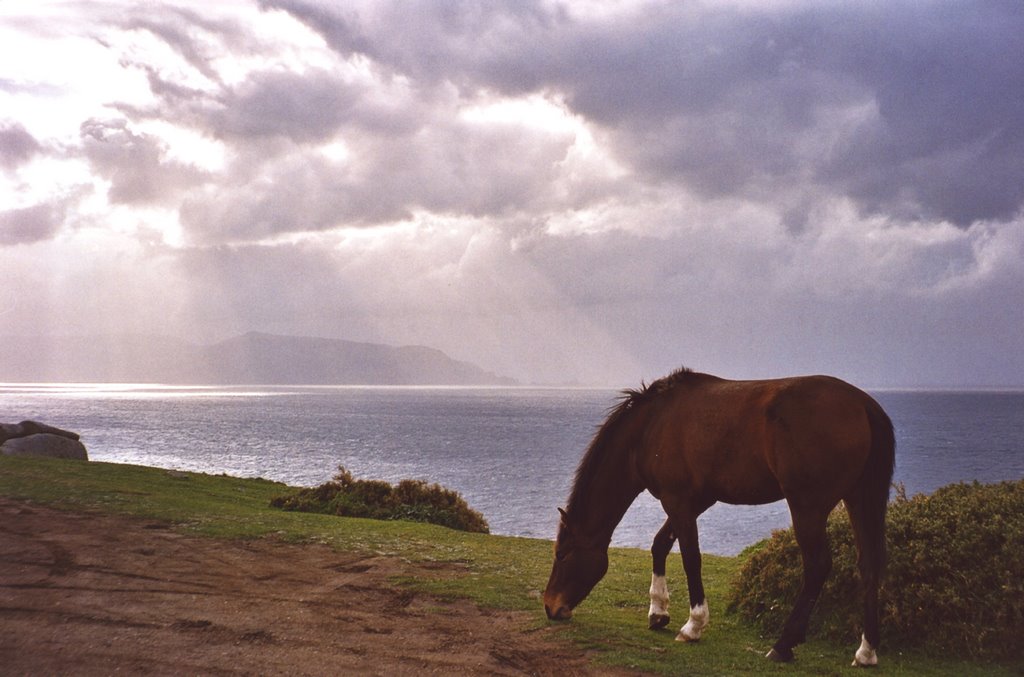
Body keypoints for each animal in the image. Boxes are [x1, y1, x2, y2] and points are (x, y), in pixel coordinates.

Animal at [540, 366, 892, 663]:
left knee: (817, 566)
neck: (652, 426)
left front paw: (693, 625)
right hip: (859, 499)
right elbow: (659, 545)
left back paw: (783, 645)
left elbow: (690, 558)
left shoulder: (678, 501)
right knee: (868, 563)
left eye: (561, 554)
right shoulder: (695, 501)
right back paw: (866, 651)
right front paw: (658, 612)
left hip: (808, 506)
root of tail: (863, 405)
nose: (550, 606)